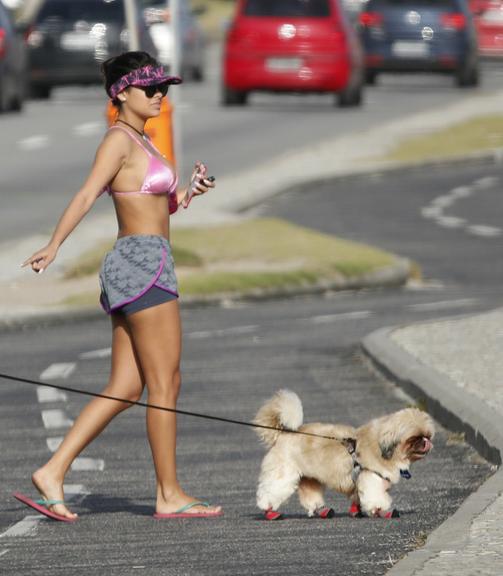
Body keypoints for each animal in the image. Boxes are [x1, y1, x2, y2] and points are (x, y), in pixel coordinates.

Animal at [254, 390, 436, 520]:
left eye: (428, 436)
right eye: (414, 438)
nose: (426, 442)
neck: (383, 447)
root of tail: (282, 434)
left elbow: (358, 498)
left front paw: (357, 511)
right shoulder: (371, 478)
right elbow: (377, 498)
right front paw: (383, 511)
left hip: (309, 478)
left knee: (310, 496)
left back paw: (322, 510)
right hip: (283, 475)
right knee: (270, 492)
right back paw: (270, 512)